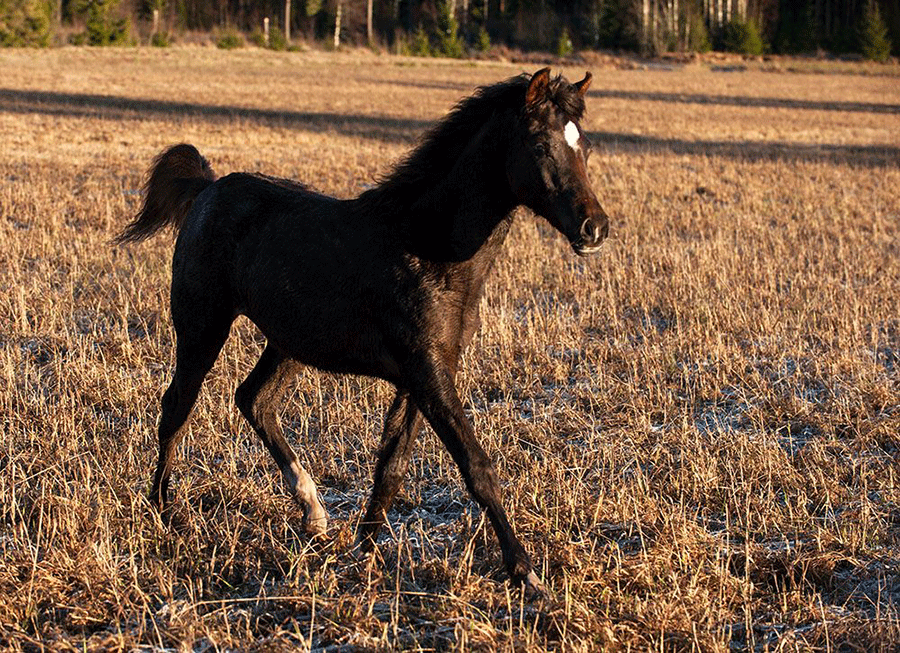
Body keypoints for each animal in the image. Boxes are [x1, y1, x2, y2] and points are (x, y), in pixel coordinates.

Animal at [119, 67, 608, 596]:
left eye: (585, 146)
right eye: (539, 145)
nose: (595, 228)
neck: (427, 247)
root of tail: (208, 189)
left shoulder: (424, 376)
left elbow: (391, 466)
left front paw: (364, 552)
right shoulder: (428, 375)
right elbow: (476, 466)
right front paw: (525, 572)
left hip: (290, 342)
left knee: (253, 398)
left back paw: (313, 510)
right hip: (201, 327)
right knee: (177, 407)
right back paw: (164, 511)